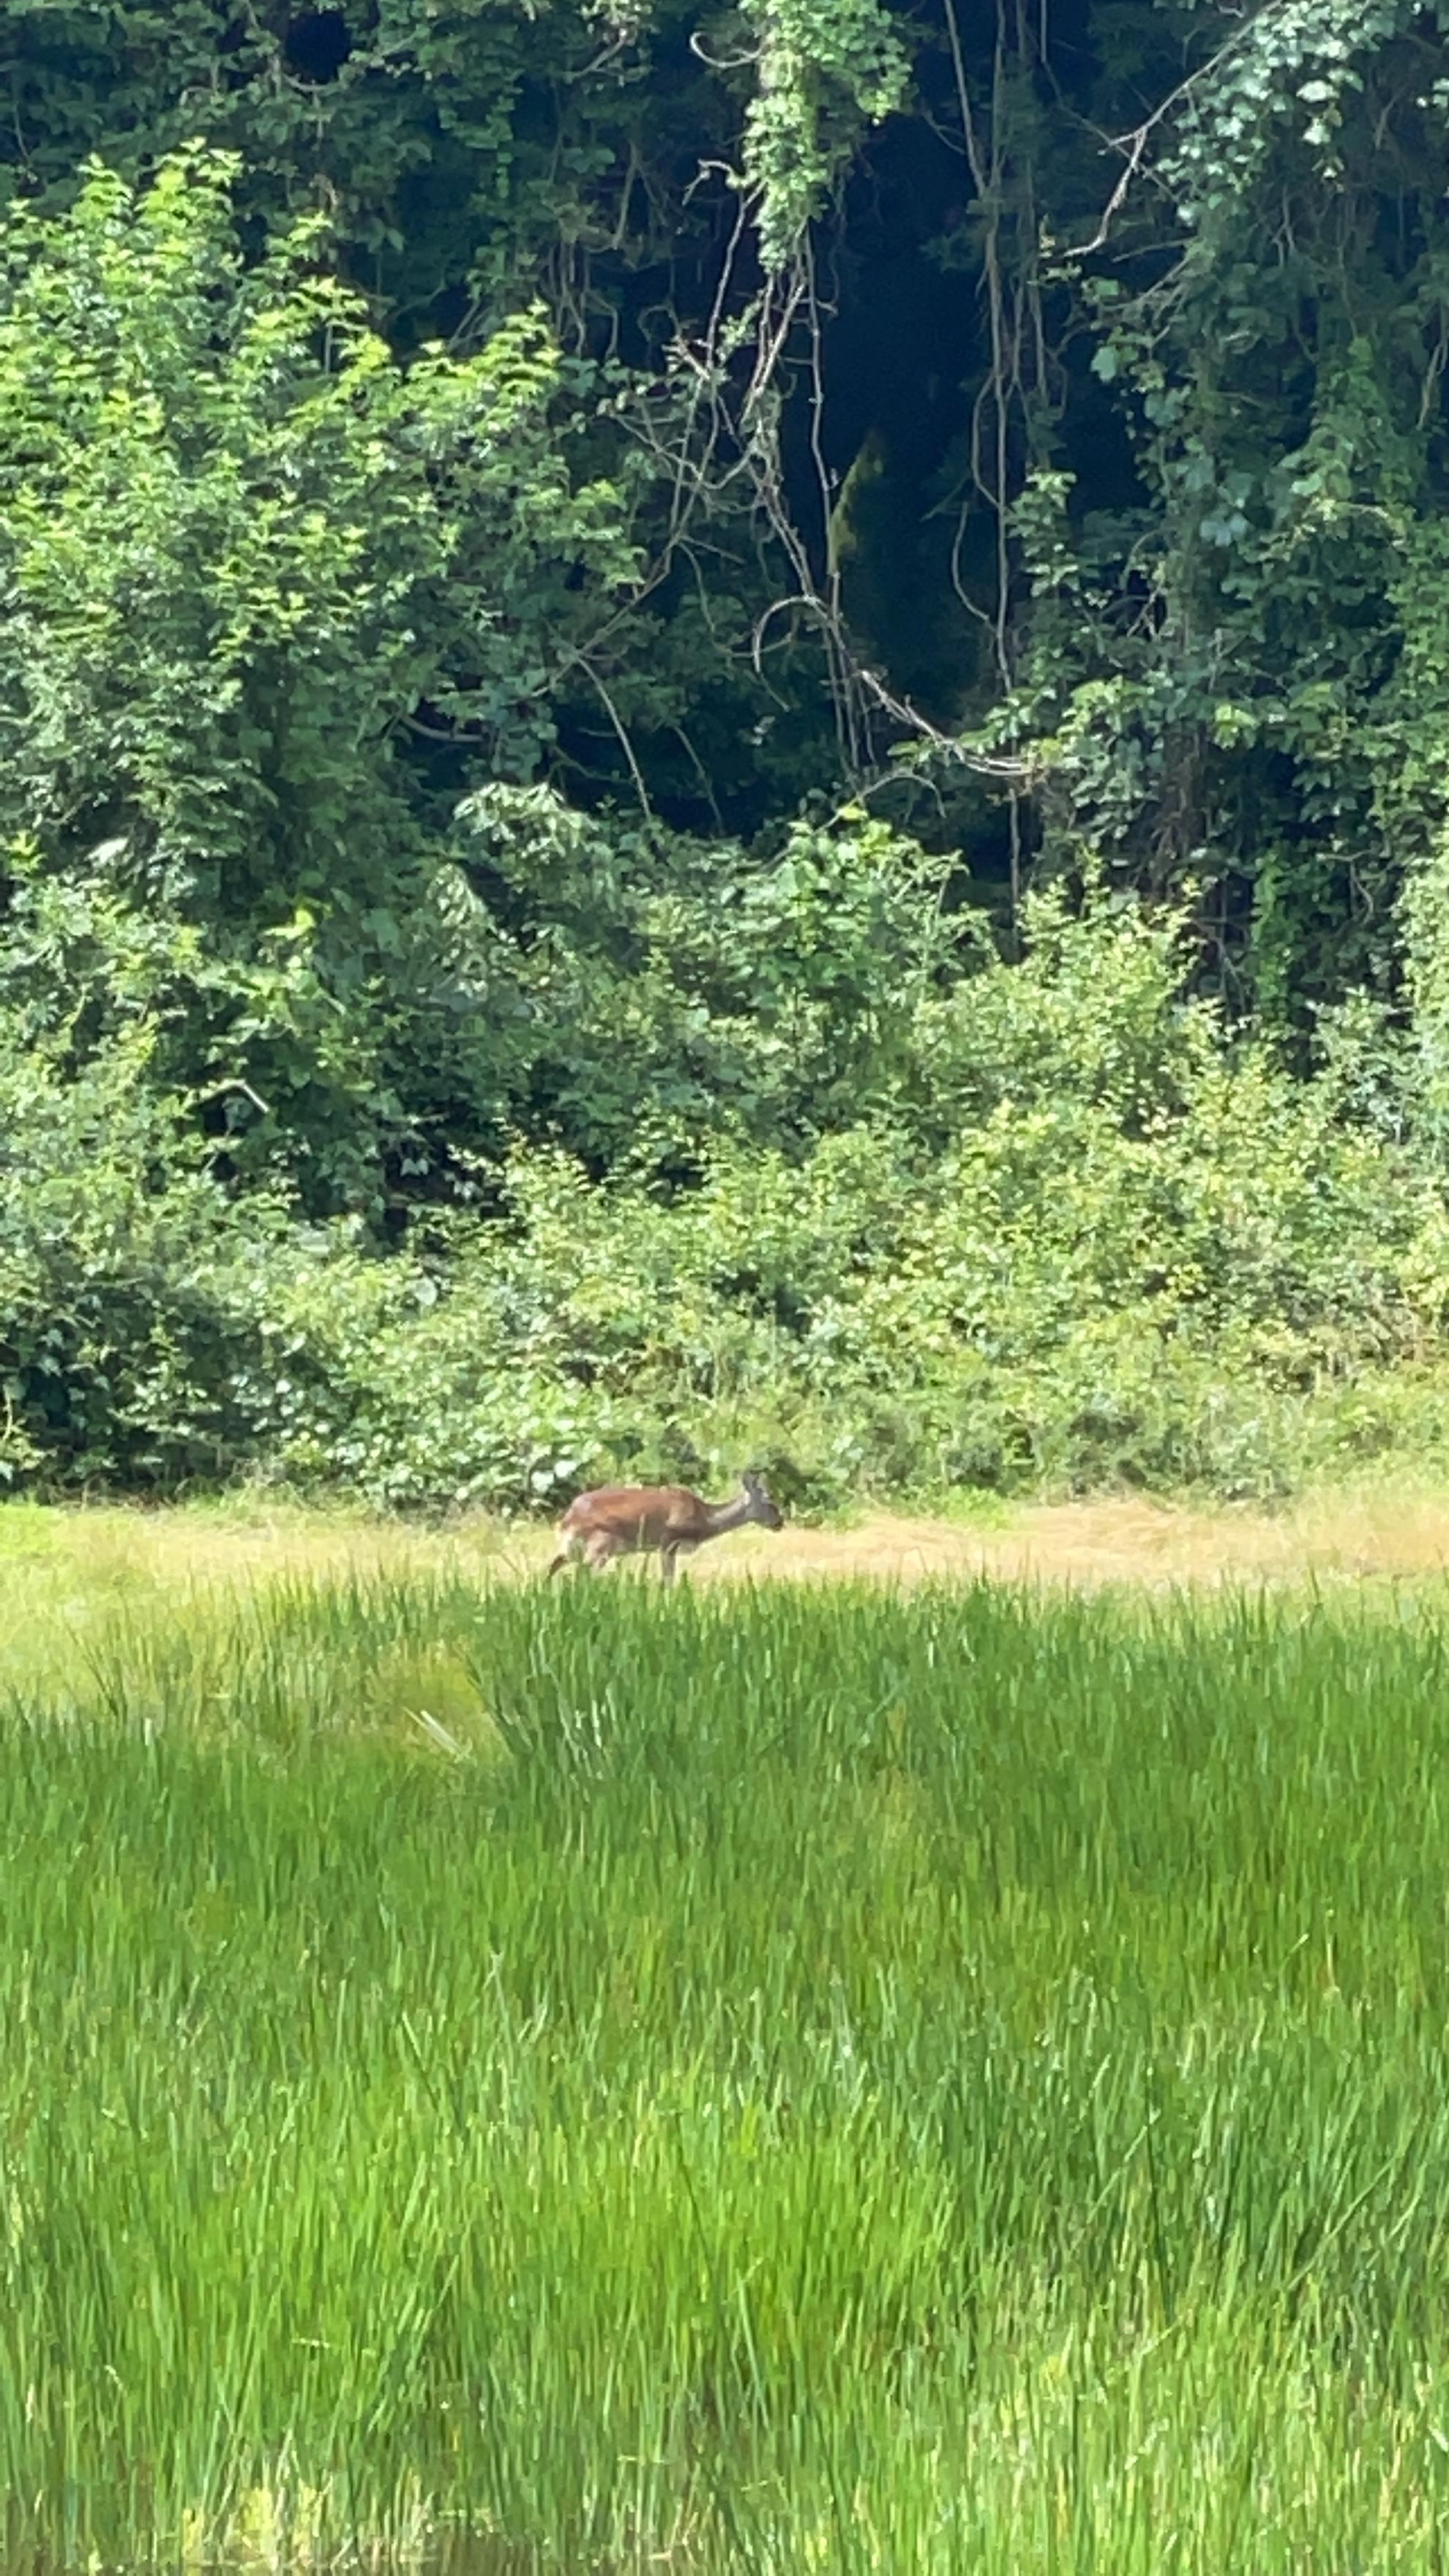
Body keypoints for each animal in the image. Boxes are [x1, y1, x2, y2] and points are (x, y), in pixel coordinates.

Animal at [546, 1483, 784, 1576]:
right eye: (770, 1503)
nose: (780, 1523)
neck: (705, 1518)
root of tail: (568, 1517)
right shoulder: (668, 1540)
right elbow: (668, 1578)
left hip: (572, 1548)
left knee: (555, 1565)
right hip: (601, 1543)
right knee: (584, 1571)